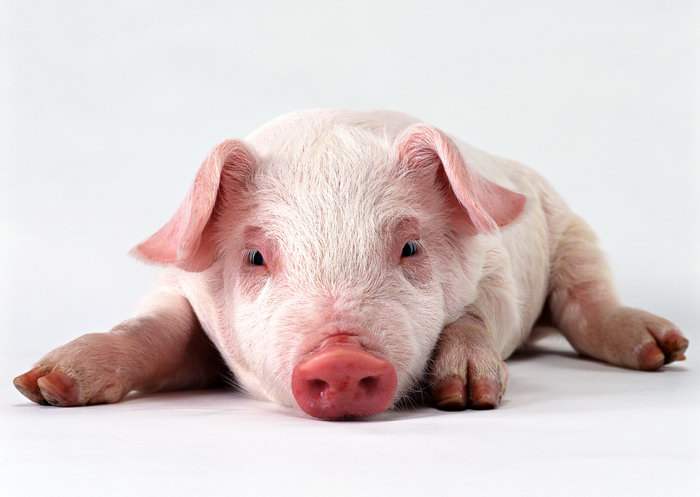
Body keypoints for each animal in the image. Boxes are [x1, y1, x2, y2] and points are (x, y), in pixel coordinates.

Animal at [13, 109, 689, 420]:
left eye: (410, 248)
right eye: (256, 256)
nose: (341, 358)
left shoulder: (498, 276)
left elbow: (472, 316)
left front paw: (466, 397)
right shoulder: (179, 289)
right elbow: (154, 328)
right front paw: (44, 387)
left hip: (573, 230)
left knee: (588, 300)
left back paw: (664, 349)